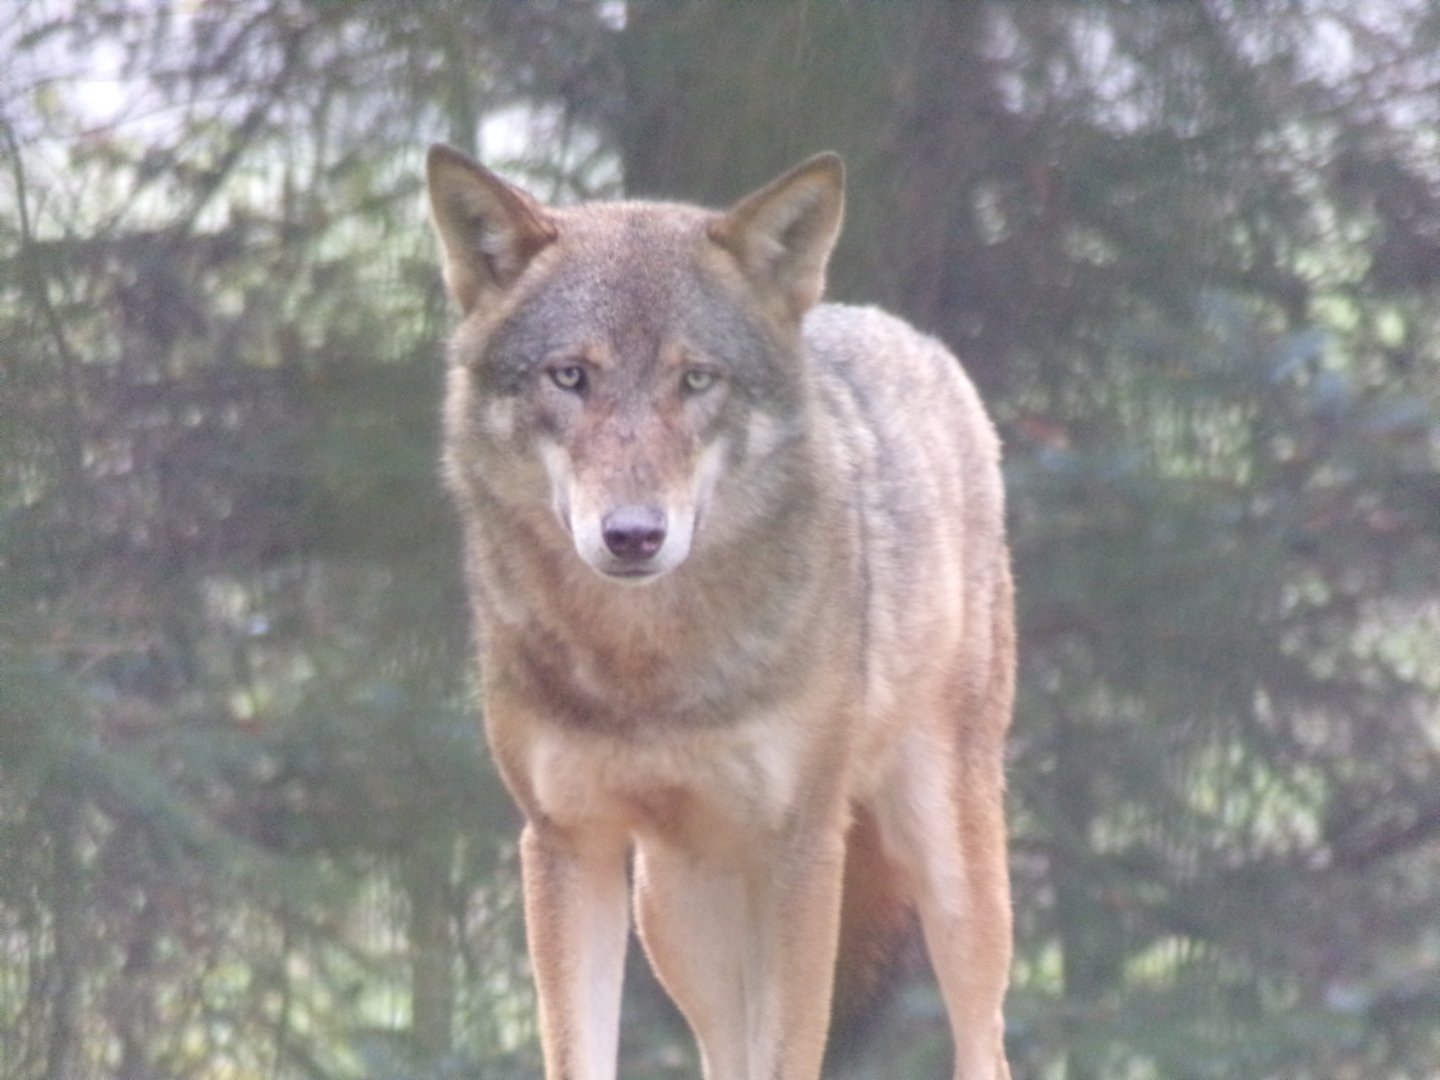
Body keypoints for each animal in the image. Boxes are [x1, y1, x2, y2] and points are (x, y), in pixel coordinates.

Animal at [426, 143, 1015, 1080]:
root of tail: (904, 331)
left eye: (695, 379)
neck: (649, 672)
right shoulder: (566, 843)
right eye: (570, 376)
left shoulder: (801, 851)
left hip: (950, 871)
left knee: (984, 1043)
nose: (633, 535)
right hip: (675, 909)